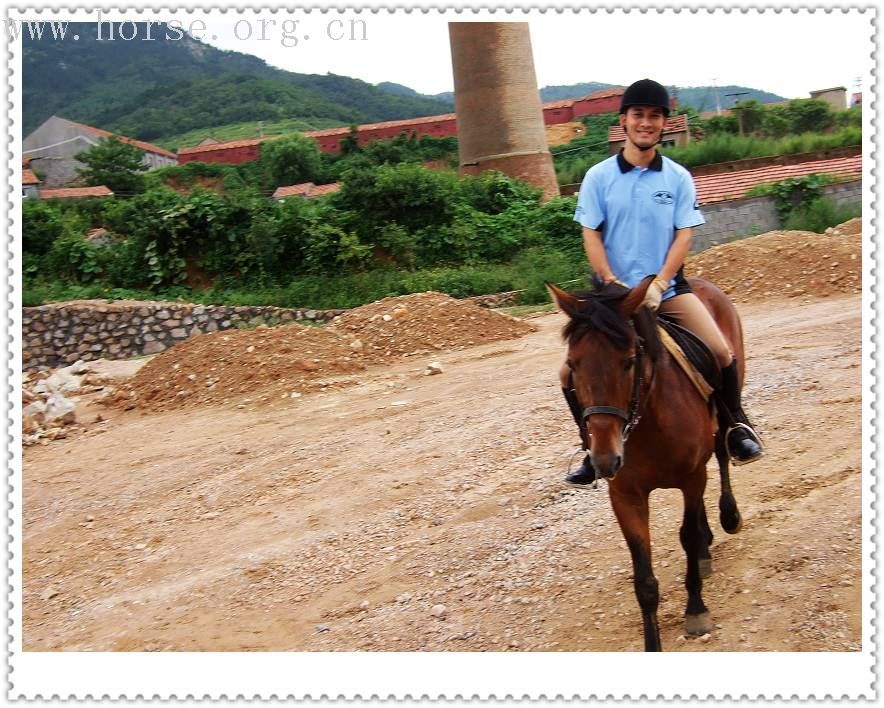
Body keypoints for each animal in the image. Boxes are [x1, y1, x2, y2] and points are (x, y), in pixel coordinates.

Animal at [544, 274, 744, 648]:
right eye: (573, 365)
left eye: (628, 361)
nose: (605, 459)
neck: (648, 421)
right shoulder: (625, 495)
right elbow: (644, 577)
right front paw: (653, 644)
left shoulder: (691, 477)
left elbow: (686, 536)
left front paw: (696, 610)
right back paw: (706, 550)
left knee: (723, 454)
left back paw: (729, 515)